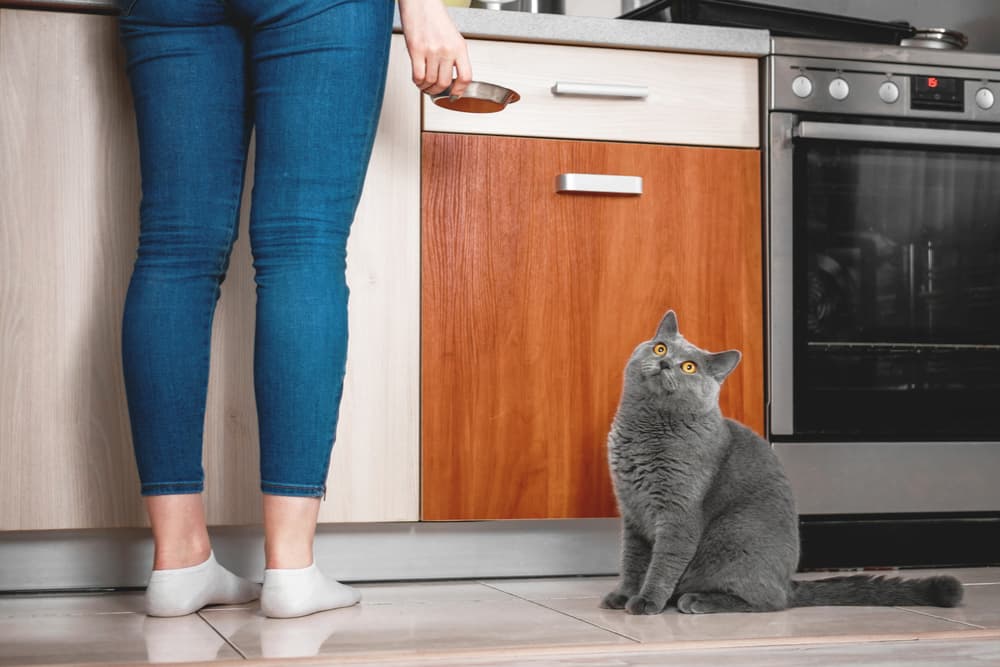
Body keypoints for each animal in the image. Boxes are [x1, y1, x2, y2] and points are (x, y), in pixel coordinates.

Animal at [596, 314, 964, 616]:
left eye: (689, 367)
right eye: (660, 348)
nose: (666, 363)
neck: (645, 431)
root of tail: (791, 583)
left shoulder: (679, 513)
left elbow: (662, 563)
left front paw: (646, 602)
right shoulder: (632, 512)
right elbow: (633, 561)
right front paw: (623, 596)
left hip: (734, 534)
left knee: (769, 601)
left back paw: (698, 600)